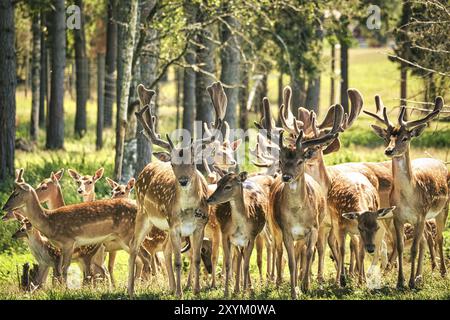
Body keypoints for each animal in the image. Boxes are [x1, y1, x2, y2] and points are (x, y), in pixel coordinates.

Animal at [129, 81, 229, 296]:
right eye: (173, 163)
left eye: (192, 162)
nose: (183, 181)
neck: (189, 210)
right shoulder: (174, 225)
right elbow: (177, 261)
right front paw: (180, 293)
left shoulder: (199, 226)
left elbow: (196, 259)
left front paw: (196, 290)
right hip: (144, 213)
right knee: (134, 246)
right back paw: (131, 290)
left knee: (165, 250)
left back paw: (170, 287)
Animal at [364, 96, 448, 288]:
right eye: (388, 137)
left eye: (405, 138)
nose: (389, 150)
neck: (409, 198)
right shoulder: (397, 217)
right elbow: (401, 246)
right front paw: (400, 281)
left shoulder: (420, 215)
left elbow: (414, 248)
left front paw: (409, 282)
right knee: (427, 238)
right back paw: (419, 276)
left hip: (443, 208)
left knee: (439, 237)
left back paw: (442, 272)